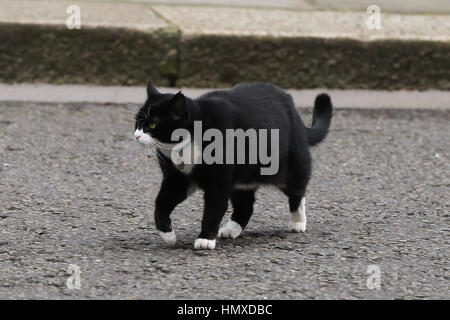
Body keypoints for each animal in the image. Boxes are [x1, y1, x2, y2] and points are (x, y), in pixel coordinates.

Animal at [132, 82, 332, 250]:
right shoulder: (177, 178)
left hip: (292, 164)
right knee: (246, 205)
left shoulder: (218, 182)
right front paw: (168, 235)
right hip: (242, 179)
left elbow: (213, 209)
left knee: (297, 191)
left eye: (153, 124)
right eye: (138, 122)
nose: (136, 135)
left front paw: (205, 239)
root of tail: (292, 108)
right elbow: (161, 203)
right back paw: (231, 230)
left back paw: (298, 222)